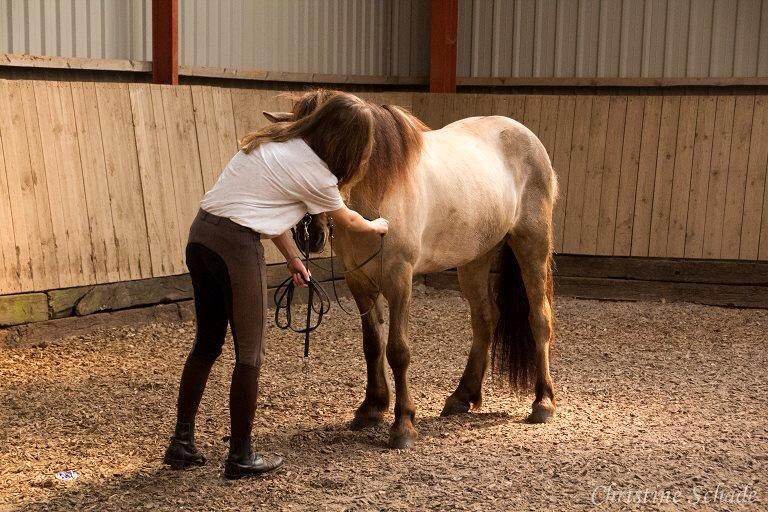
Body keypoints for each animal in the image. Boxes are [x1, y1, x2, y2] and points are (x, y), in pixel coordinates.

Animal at [264, 89, 560, 448]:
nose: (309, 234)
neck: (379, 191)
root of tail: (526, 136)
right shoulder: (358, 281)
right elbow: (372, 345)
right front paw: (371, 408)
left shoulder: (399, 279)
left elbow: (398, 351)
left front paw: (403, 424)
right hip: (475, 258)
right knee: (485, 319)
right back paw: (462, 396)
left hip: (533, 245)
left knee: (539, 318)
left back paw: (543, 401)